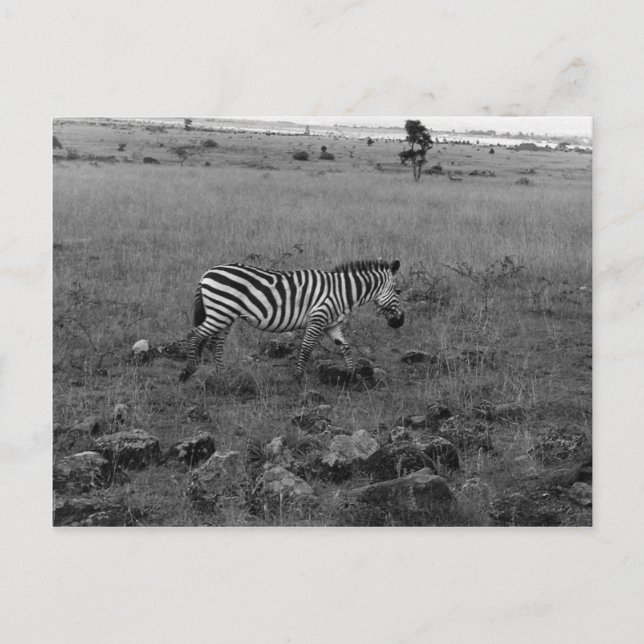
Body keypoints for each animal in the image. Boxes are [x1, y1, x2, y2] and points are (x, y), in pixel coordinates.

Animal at [179, 258, 404, 382]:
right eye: (398, 291)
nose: (400, 322)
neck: (342, 292)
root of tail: (207, 273)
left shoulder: (331, 324)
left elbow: (345, 348)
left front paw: (352, 376)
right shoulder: (318, 318)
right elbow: (306, 348)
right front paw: (298, 377)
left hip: (225, 315)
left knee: (216, 344)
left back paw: (222, 374)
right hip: (220, 311)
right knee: (194, 335)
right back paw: (188, 371)